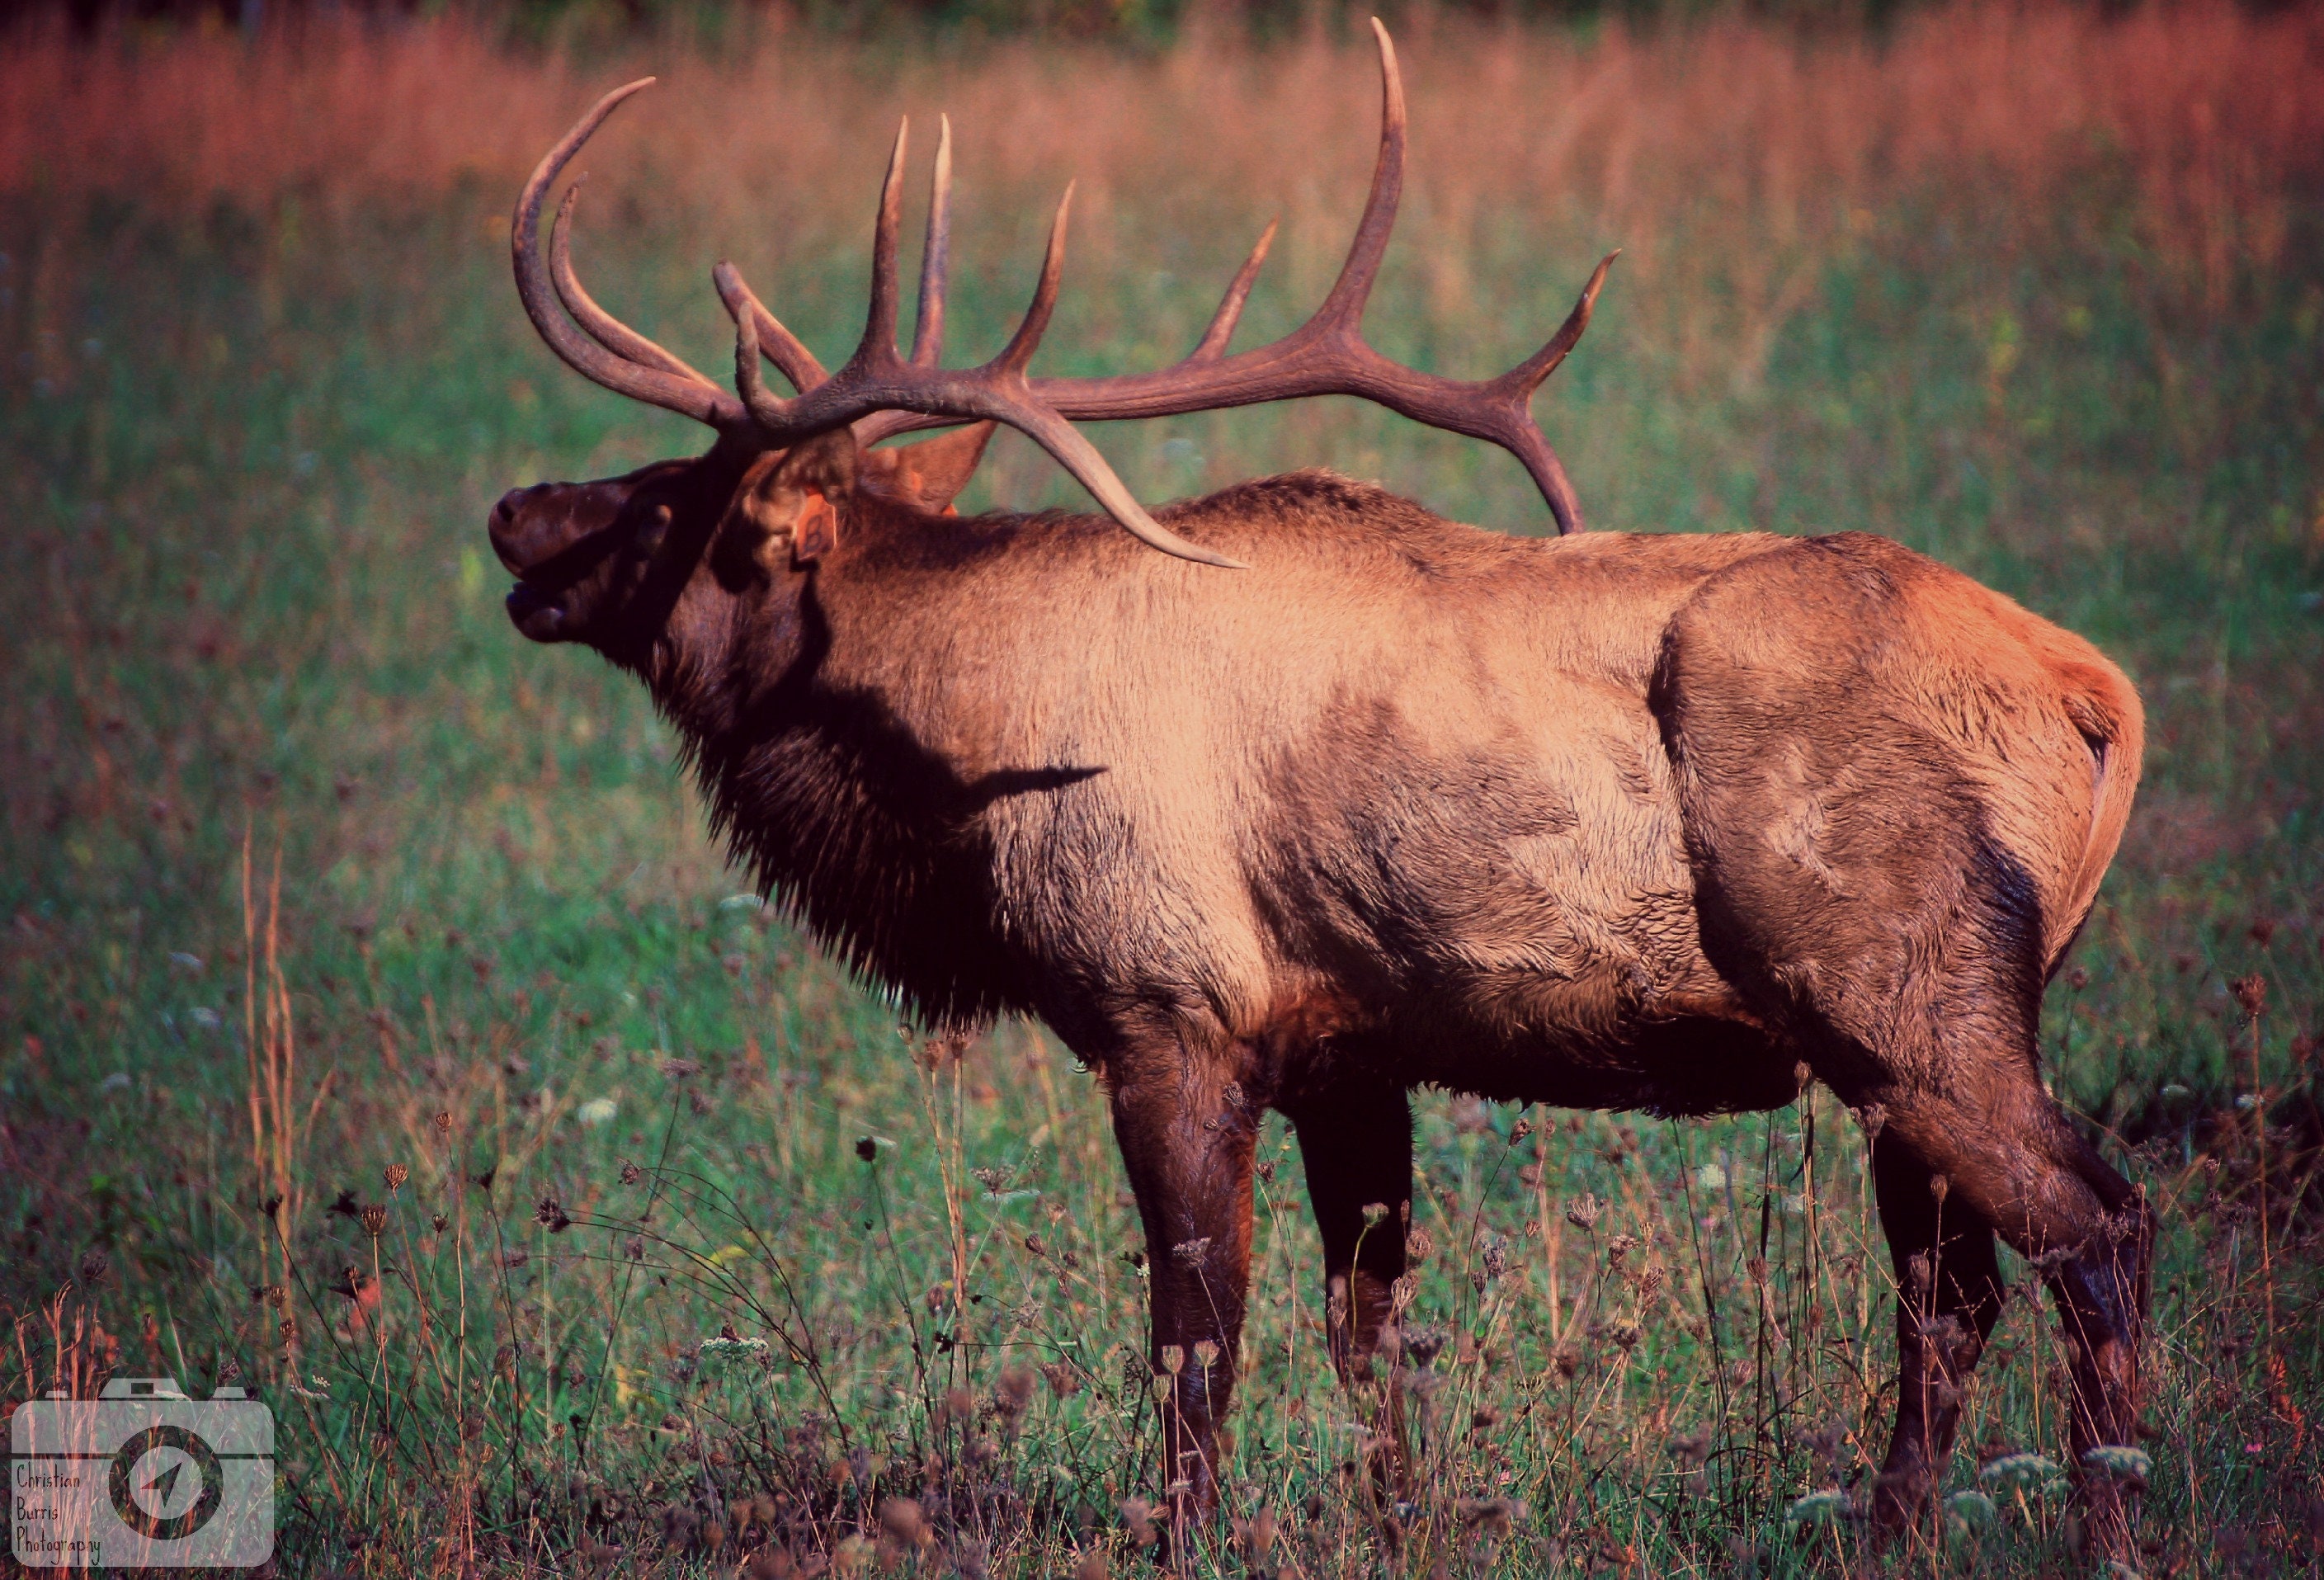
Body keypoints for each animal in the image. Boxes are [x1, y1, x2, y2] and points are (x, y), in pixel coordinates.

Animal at [487, 23, 2151, 1557]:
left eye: (672, 501)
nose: (512, 510)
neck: (957, 765)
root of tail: (2091, 690)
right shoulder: (1349, 1045)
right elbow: (1369, 1336)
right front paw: (1397, 1523)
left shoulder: (1171, 1006)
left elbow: (1194, 1338)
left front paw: (1183, 1535)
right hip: (1912, 1035)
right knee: (1951, 1293)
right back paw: (1890, 1530)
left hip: (1898, 991)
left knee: (2097, 1230)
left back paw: (2108, 1524)